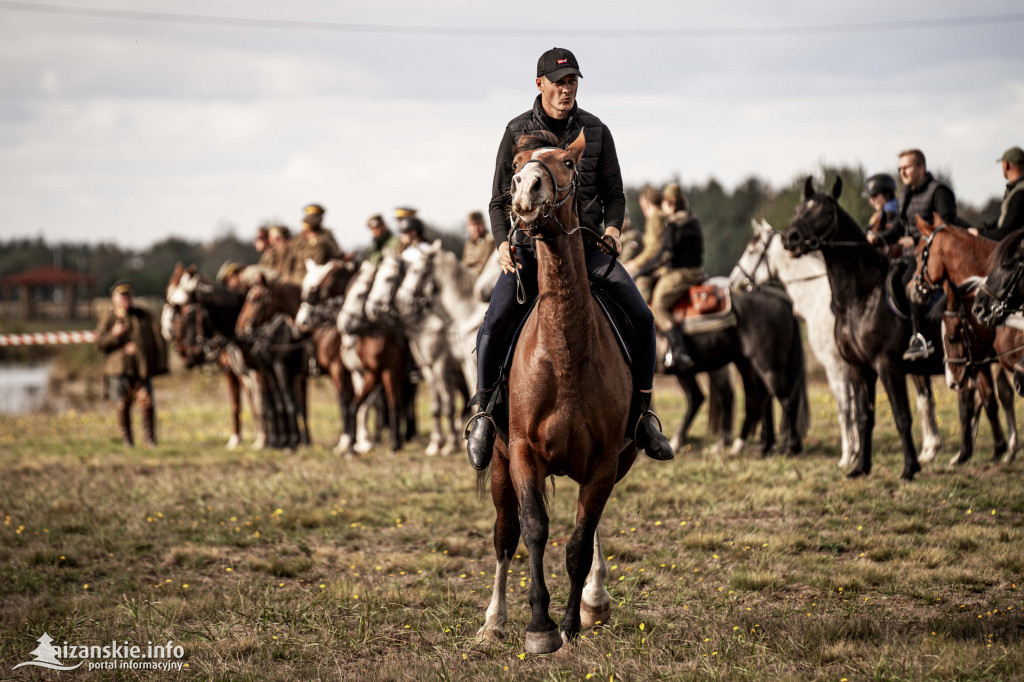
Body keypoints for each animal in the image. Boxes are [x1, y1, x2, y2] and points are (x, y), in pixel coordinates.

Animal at [475, 133, 634, 655]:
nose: (526, 190)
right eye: (517, 165)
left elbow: (580, 542)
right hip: (499, 463)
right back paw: (494, 621)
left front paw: (569, 622)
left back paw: (594, 602)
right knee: (504, 536)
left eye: (568, 162)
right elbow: (532, 530)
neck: (565, 355)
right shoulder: (523, 454)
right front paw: (539, 627)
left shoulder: (604, 460)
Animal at [733, 220, 937, 464]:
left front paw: (848, 453)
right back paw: (930, 448)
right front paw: (857, 449)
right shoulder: (853, 366)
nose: (733, 281)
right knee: (925, 399)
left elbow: (844, 407)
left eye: (751, 250)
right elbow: (854, 406)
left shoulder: (835, 365)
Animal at [782, 178, 942, 481]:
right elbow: (864, 417)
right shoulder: (859, 369)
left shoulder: (888, 366)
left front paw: (909, 468)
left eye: (824, 211)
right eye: (797, 209)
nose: (790, 238)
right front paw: (860, 467)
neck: (862, 298)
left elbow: (901, 417)